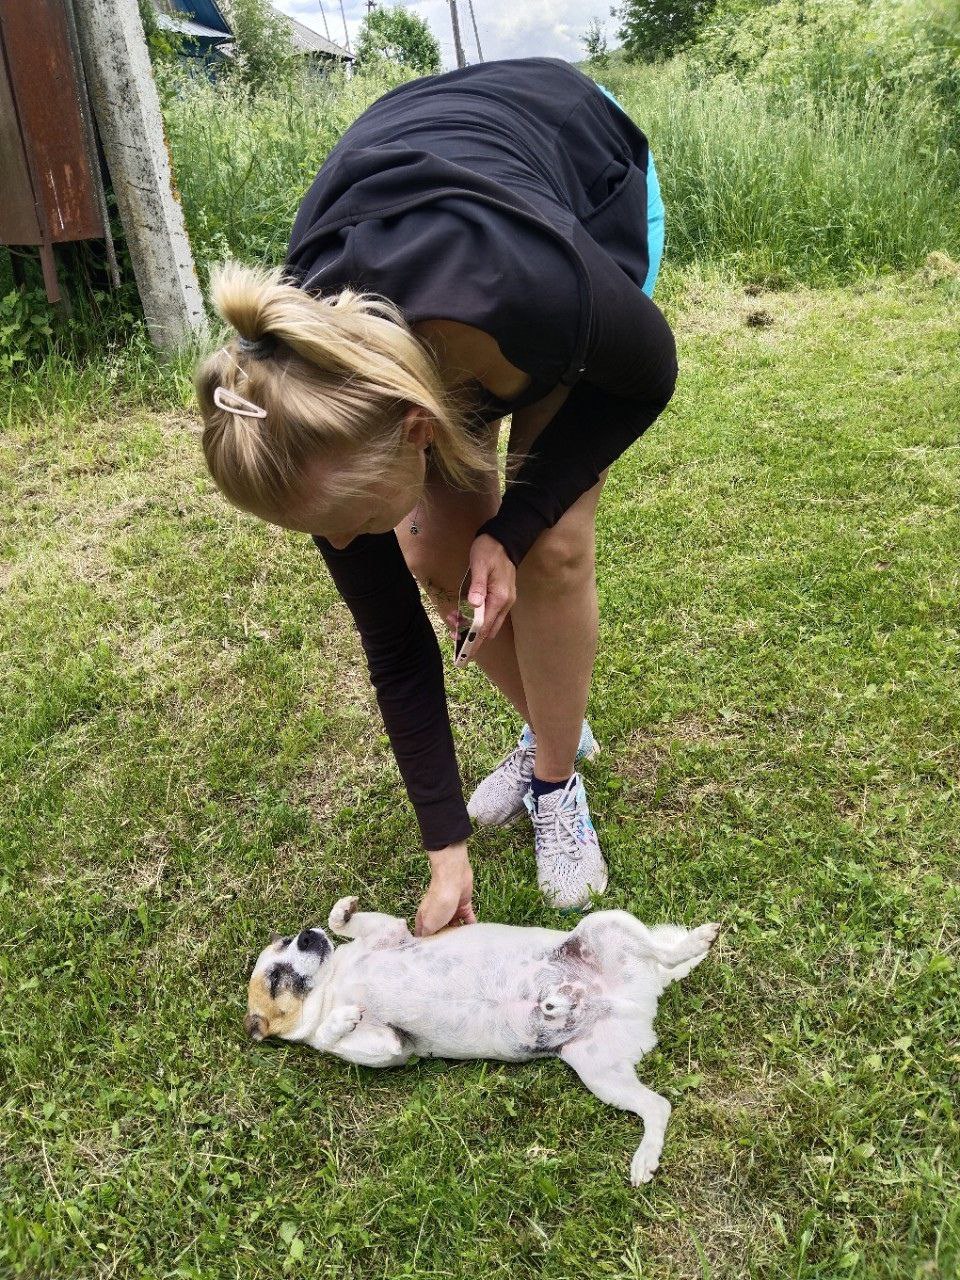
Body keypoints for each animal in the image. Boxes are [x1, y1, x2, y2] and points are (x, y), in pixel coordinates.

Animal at [246, 898, 719, 1184]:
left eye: (287, 941)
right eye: (274, 977)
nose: (305, 935)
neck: (334, 983)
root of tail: (637, 995)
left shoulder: (390, 933)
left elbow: (342, 920)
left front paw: (341, 913)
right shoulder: (389, 1046)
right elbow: (332, 1036)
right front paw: (339, 1021)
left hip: (604, 923)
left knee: (662, 951)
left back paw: (696, 940)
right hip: (599, 1072)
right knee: (657, 1106)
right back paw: (645, 1156)